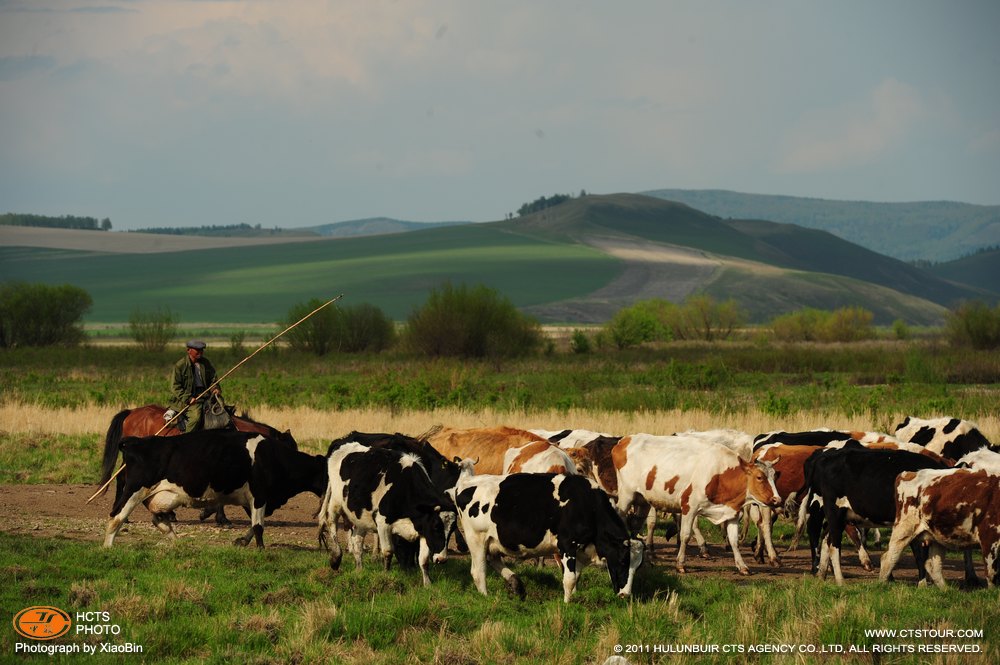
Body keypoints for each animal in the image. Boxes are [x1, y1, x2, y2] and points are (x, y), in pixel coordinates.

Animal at [103, 428, 326, 548]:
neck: (272, 456)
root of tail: (135, 442)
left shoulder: (253, 500)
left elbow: (255, 525)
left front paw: (241, 541)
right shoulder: (260, 495)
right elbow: (258, 527)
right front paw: (260, 549)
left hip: (163, 496)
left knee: (158, 519)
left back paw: (177, 542)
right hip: (134, 490)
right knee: (116, 517)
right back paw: (108, 547)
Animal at [318, 440, 456, 588]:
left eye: (452, 529)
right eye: (436, 527)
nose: (442, 559)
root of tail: (344, 444)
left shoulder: (423, 528)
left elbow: (423, 560)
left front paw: (427, 583)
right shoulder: (383, 523)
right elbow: (388, 552)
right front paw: (385, 575)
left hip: (361, 516)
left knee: (357, 541)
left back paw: (359, 569)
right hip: (336, 503)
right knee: (331, 524)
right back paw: (336, 558)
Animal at [452, 460, 640, 604]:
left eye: (637, 567)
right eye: (623, 561)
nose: (625, 595)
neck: (588, 505)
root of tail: (466, 483)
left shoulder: (580, 550)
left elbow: (575, 576)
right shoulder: (567, 545)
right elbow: (570, 579)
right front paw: (567, 604)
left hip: (494, 541)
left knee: (494, 560)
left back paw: (516, 585)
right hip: (476, 540)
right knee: (478, 572)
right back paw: (486, 597)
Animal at [608, 434, 780, 572]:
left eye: (774, 476)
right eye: (759, 477)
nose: (777, 500)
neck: (720, 474)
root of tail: (625, 439)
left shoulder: (732, 512)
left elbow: (734, 541)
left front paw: (742, 566)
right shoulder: (689, 508)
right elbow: (685, 536)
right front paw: (680, 564)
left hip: (643, 500)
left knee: (635, 524)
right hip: (626, 495)